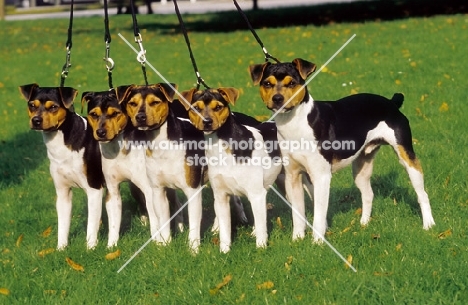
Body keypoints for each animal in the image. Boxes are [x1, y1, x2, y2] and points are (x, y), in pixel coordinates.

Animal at [18, 82, 104, 248]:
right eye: (32, 105)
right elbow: (63, 226)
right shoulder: (63, 192)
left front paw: (90, 249)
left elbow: (91, 225)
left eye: (53, 107)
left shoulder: (94, 189)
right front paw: (61, 249)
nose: (36, 120)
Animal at [250, 57, 436, 242]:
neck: (296, 124)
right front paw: (297, 239)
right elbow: (298, 214)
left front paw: (317, 242)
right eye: (267, 83)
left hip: (407, 159)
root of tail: (391, 102)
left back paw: (428, 224)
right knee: (368, 194)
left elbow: (319, 214)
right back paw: (364, 224)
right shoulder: (292, 176)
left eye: (292, 83)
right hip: (361, 168)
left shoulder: (321, 176)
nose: (278, 98)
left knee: (422, 194)